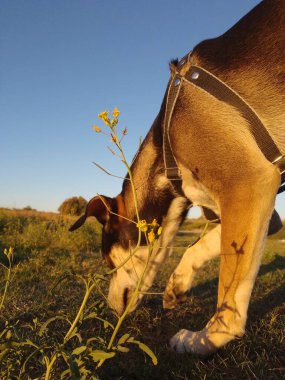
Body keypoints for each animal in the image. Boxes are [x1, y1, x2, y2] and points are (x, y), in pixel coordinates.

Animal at [69, 0, 284, 356]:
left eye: (107, 261)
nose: (111, 308)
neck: (165, 160)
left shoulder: (249, 183)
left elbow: (229, 292)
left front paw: (205, 338)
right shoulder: (257, 209)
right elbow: (200, 246)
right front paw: (177, 285)